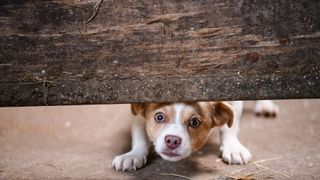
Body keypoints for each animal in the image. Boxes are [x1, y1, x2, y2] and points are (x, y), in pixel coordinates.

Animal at [112, 100, 278, 171]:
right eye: (159, 117)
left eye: (194, 122)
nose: (172, 141)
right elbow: (139, 130)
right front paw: (133, 155)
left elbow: (230, 124)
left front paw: (232, 148)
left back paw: (265, 105)